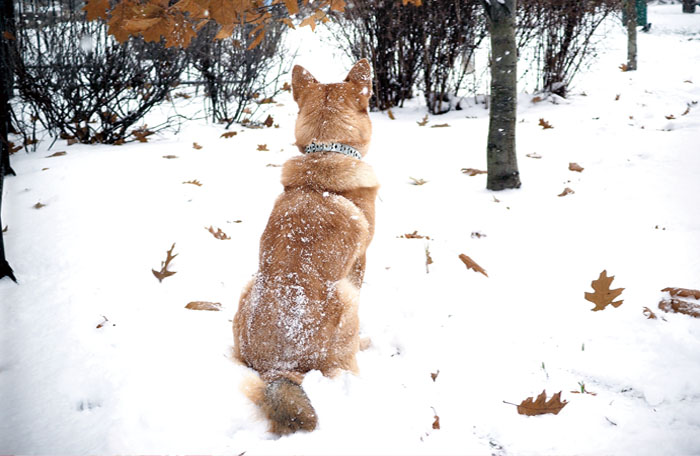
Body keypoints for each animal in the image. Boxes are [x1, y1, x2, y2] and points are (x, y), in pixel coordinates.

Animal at [234, 59, 378, 434]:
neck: (326, 150)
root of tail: (277, 369)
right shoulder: (361, 262)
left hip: (247, 286)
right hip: (347, 296)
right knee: (345, 367)